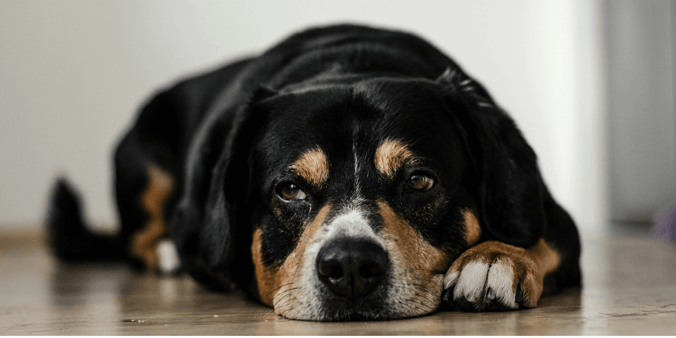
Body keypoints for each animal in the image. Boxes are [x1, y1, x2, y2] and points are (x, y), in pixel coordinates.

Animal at [46, 23, 580, 320]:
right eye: (289, 189)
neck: (351, 65)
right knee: (136, 237)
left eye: (419, 181)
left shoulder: (553, 214)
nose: (350, 267)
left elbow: (542, 237)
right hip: (143, 162)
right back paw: (165, 252)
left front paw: (494, 258)